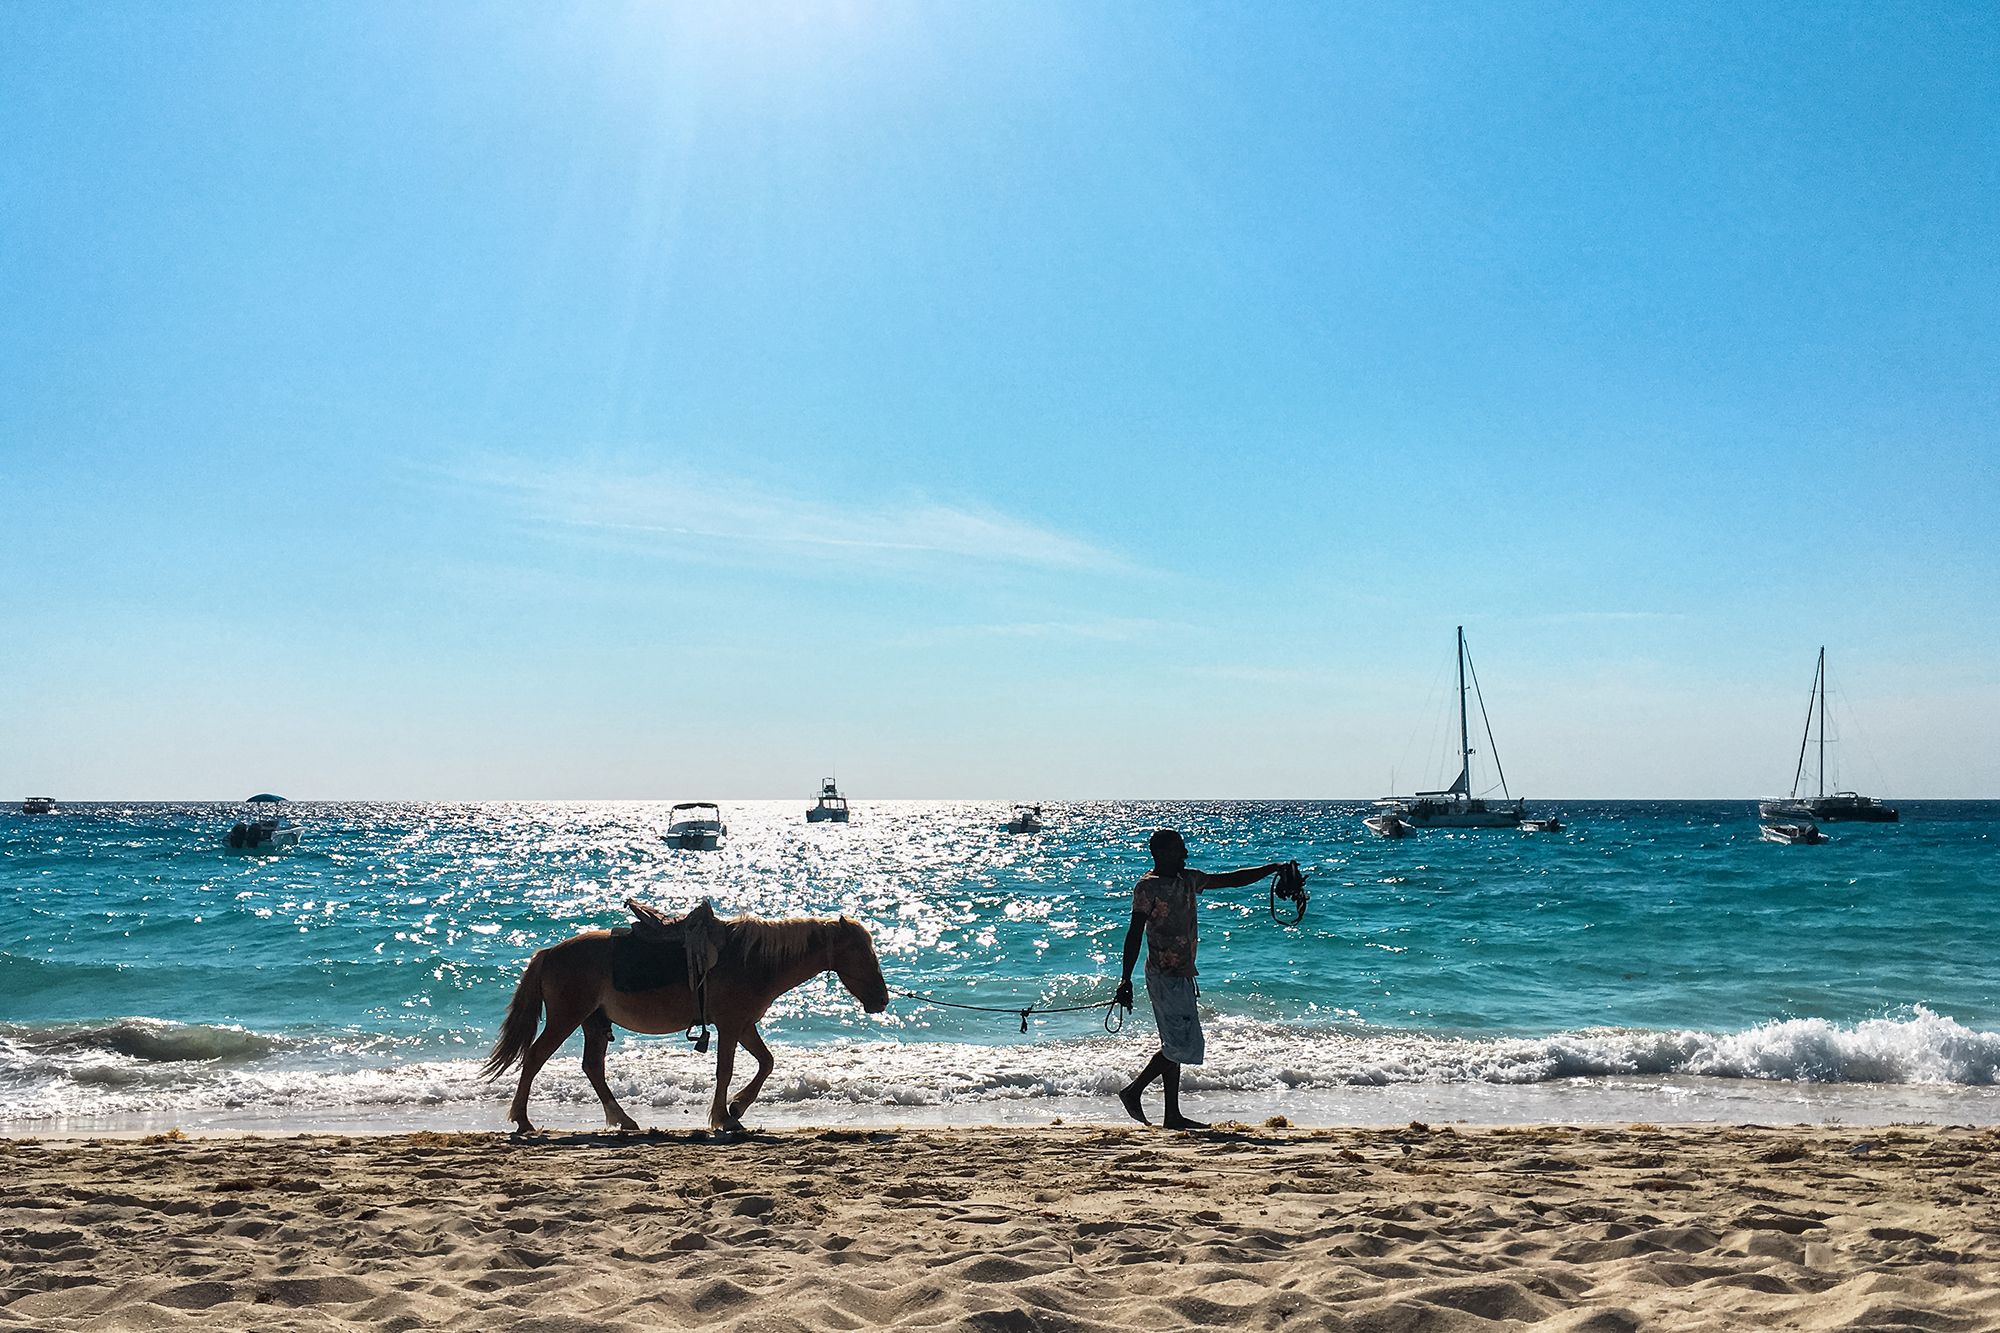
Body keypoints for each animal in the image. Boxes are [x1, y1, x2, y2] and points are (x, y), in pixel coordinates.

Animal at [480, 908, 888, 1128]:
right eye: (862, 951)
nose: (882, 1000)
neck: (753, 960)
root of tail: (549, 952)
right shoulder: (730, 1025)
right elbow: (726, 1070)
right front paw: (724, 1116)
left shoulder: (744, 1025)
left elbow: (767, 1062)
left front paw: (737, 1107)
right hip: (567, 1018)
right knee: (536, 1057)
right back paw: (522, 1120)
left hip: (593, 1022)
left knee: (592, 1067)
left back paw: (623, 1120)